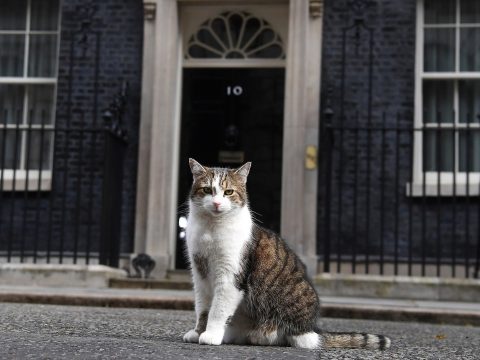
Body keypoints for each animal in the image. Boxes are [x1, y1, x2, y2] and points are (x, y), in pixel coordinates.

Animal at [183, 159, 390, 350]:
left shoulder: (230, 276)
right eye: (207, 190)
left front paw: (211, 335)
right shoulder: (199, 273)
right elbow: (202, 308)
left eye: (228, 192)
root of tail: (313, 329)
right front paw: (198, 332)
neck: (211, 229)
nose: (217, 203)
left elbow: (218, 310)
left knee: (299, 340)